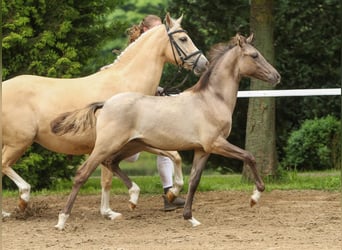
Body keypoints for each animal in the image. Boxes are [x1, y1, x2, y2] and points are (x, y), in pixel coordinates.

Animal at [1, 12, 207, 218]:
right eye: (183, 38)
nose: (204, 64)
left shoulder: (139, 141)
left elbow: (174, 156)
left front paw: (171, 194)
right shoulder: (110, 145)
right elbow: (107, 179)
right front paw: (109, 212)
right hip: (19, 141)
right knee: (3, 165)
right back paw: (23, 199)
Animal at [51, 33, 280, 230]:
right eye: (254, 55)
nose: (276, 76)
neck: (210, 100)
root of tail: (105, 103)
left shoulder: (202, 150)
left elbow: (194, 181)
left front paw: (190, 218)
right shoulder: (216, 143)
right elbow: (249, 156)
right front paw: (255, 197)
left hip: (132, 145)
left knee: (111, 163)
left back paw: (133, 197)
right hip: (107, 145)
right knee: (83, 174)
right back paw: (62, 220)